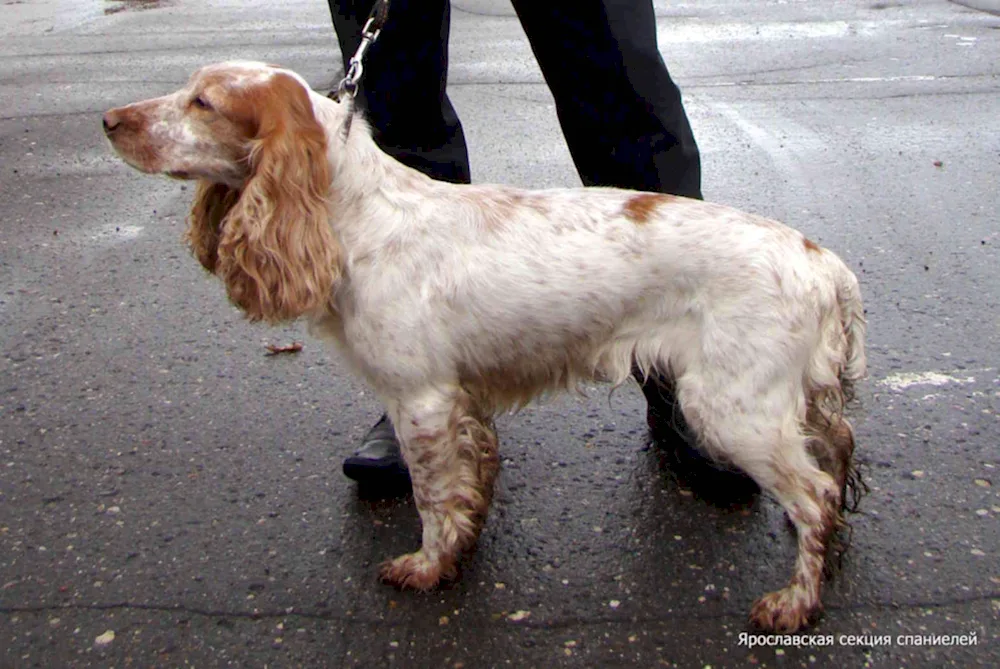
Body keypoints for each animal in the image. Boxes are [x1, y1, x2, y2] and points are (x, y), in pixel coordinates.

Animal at [103, 62, 868, 632]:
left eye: (202, 101)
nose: (110, 121)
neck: (356, 214)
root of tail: (822, 261)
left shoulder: (422, 399)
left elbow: (432, 496)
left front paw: (426, 567)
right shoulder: (457, 401)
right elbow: (465, 485)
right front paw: (459, 548)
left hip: (732, 405)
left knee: (813, 492)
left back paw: (795, 602)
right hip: (795, 399)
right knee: (837, 460)